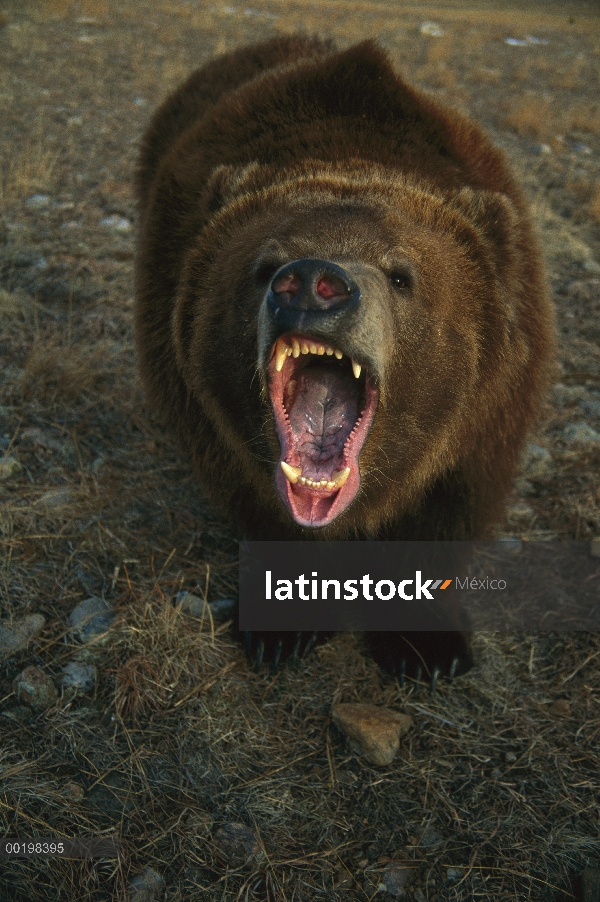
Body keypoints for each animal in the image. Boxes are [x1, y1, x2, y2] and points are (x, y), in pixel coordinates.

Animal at [134, 35, 556, 684]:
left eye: (402, 273)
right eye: (263, 264)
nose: (311, 283)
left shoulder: (484, 417)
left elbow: (442, 515)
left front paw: (426, 647)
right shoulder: (206, 416)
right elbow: (258, 508)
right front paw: (282, 628)